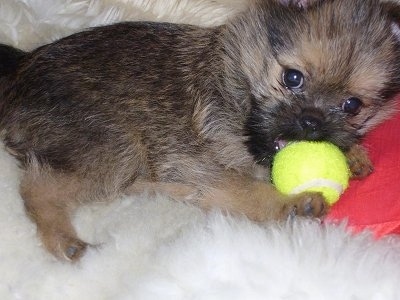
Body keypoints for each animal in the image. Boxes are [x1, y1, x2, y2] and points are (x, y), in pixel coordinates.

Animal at [0, 0, 400, 260]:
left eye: (352, 105)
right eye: (292, 78)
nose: (311, 121)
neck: (234, 83)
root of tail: (19, 70)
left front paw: (353, 153)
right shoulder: (195, 162)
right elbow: (248, 191)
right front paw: (292, 204)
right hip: (116, 147)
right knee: (36, 186)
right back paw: (62, 239)